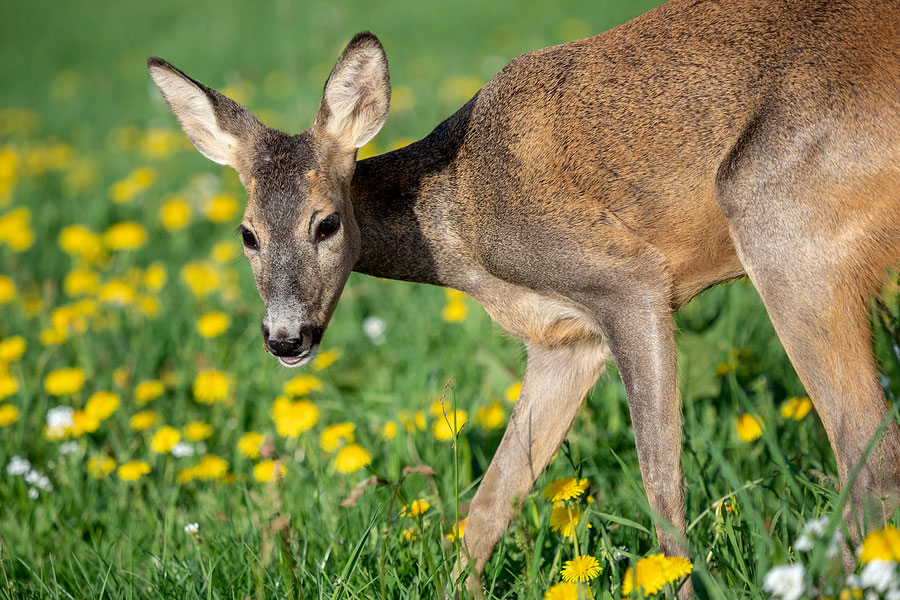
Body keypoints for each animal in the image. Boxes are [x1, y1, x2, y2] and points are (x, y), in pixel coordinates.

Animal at [151, 0, 900, 592]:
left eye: (326, 223)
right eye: (246, 234)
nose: (286, 337)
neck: (462, 219)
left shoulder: (630, 282)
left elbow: (662, 485)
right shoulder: (566, 337)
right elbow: (492, 499)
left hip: (779, 212)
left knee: (867, 452)